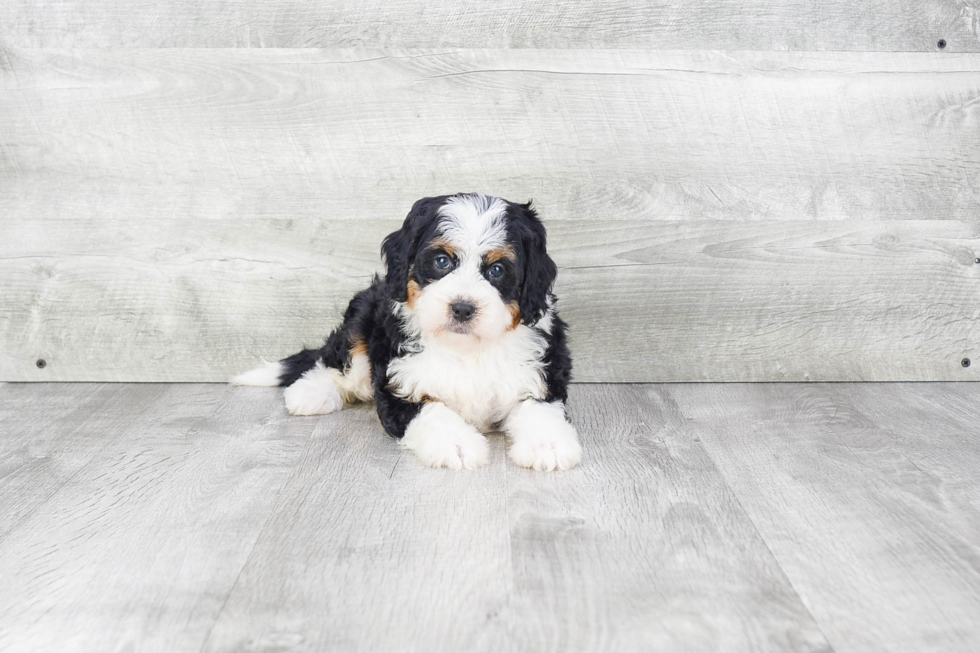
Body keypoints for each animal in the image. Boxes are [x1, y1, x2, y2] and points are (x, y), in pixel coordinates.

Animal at [233, 191, 580, 472]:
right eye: (441, 261)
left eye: (496, 270)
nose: (462, 308)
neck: (466, 348)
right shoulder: (399, 384)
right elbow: (433, 412)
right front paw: (457, 445)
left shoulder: (540, 374)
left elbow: (540, 408)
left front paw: (548, 445)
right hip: (362, 316)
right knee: (337, 362)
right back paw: (311, 392)